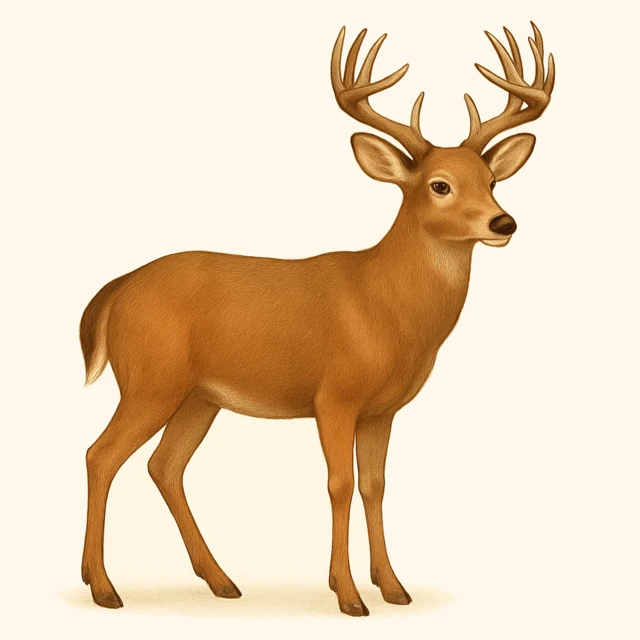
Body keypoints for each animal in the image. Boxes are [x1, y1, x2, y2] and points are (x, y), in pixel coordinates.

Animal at [79, 23, 555, 617]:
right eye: (439, 184)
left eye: (491, 179)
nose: (503, 222)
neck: (384, 306)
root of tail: (116, 290)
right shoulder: (334, 395)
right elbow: (339, 484)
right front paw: (348, 596)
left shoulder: (381, 410)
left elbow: (375, 484)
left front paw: (393, 587)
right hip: (150, 379)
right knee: (101, 456)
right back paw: (103, 587)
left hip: (198, 396)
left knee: (164, 466)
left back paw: (220, 580)